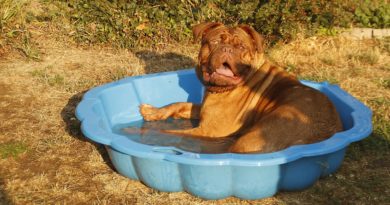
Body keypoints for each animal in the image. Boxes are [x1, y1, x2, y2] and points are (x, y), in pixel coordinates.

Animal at [138, 22, 342, 154]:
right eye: (214, 42)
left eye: (241, 46)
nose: (227, 49)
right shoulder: (204, 109)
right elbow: (178, 104)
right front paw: (153, 112)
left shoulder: (208, 131)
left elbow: (168, 132)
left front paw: (149, 133)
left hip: (254, 138)